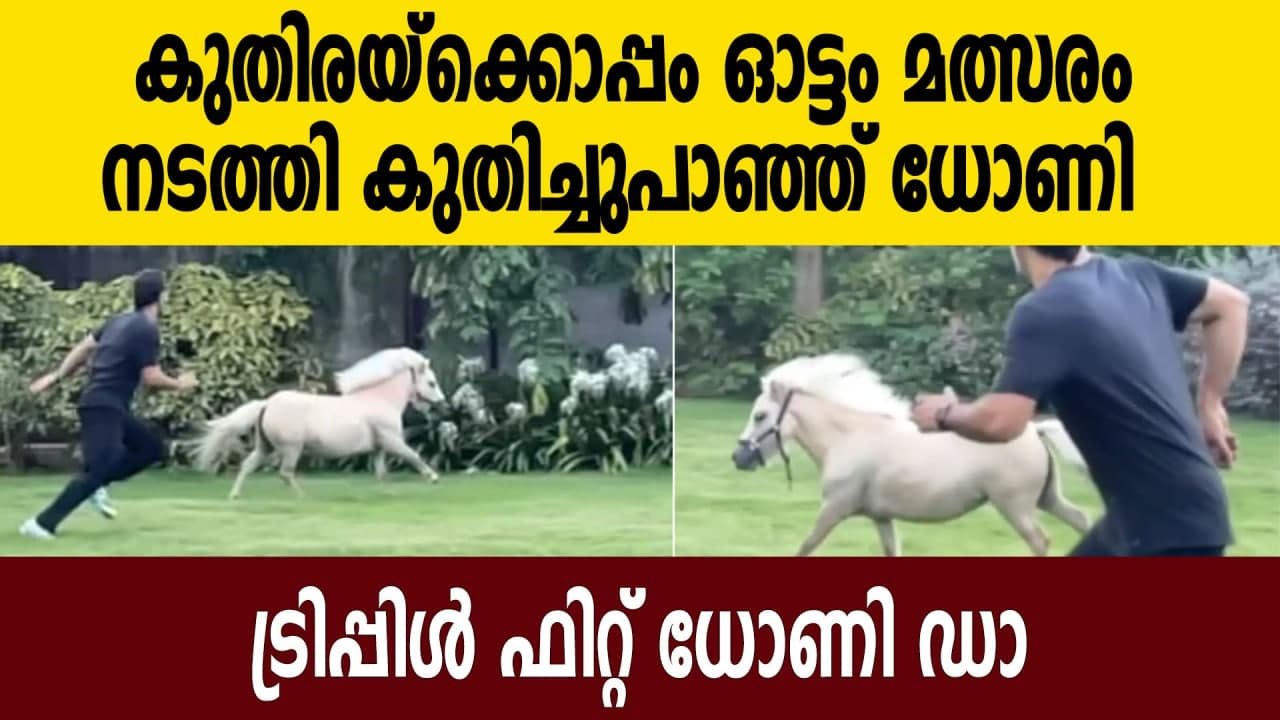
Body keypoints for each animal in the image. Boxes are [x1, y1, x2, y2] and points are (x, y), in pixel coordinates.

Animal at [192, 347, 447, 499]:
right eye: (432, 383)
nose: (443, 403)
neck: (380, 399)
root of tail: (267, 404)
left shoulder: (379, 448)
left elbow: (381, 473)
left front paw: (387, 494)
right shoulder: (393, 441)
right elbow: (413, 456)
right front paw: (433, 478)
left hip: (265, 447)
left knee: (247, 466)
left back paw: (235, 496)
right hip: (291, 449)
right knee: (285, 473)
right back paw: (303, 498)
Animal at [730, 352, 1093, 556]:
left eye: (760, 416)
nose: (738, 458)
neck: (847, 438)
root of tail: (1035, 430)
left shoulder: (834, 509)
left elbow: (805, 547)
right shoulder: (881, 518)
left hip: (1015, 507)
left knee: (1041, 541)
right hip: (1047, 499)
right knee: (1082, 521)